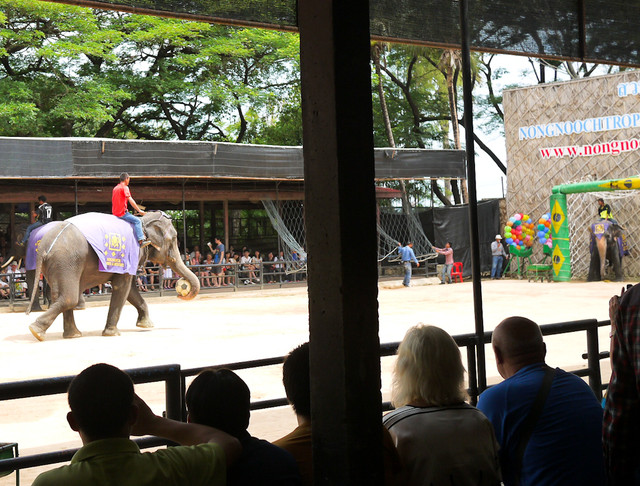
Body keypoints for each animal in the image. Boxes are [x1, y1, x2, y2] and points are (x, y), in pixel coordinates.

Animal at [26, 211, 200, 340]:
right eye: (174, 239)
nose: (180, 291)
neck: (142, 222)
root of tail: (44, 246)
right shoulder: (131, 254)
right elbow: (122, 287)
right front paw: (113, 334)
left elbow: (130, 290)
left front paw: (146, 326)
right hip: (66, 261)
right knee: (69, 297)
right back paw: (36, 331)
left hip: (57, 265)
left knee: (62, 295)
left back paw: (71, 335)